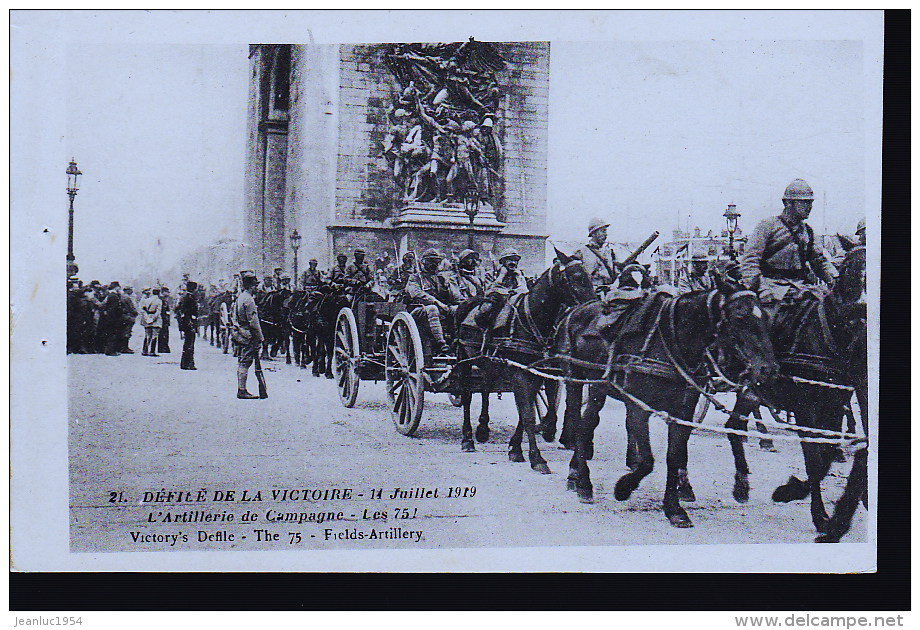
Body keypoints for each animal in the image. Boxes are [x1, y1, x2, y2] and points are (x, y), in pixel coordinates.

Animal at [454, 249, 596, 472]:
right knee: (467, 395)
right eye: (576, 276)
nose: (594, 307)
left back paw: (483, 429)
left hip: (488, 363)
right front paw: (537, 458)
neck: (531, 320)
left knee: (485, 388)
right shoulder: (519, 374)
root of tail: (467, 303)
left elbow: (526, 411)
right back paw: (467, 439)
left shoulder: (535, 374)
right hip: (465, 360)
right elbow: (528, 415)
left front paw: (516, 448)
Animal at [556, 278, 780, 532]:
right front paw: (623, 488)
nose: (769, 369)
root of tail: (574, 310)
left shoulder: (683, 412)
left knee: (587, 423)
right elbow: (647, 461)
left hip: (598, 387)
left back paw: (579, 477)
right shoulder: (638, 408)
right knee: (577, 421)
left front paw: (674, 508)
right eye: (739, 317)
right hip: (574, 379)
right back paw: (581, 481)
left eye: (766, 317)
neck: (670, 343)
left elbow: (674, 456)